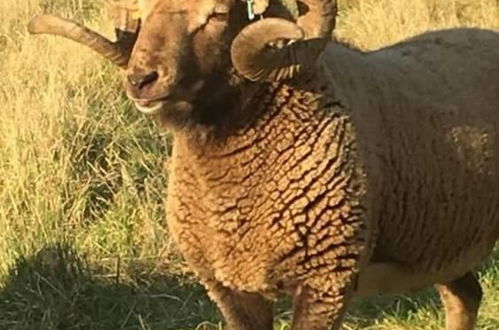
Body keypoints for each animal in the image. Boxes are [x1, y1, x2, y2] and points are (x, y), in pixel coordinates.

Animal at [28, 0, 499, 330]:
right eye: (141, 11)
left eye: (218, 13)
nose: (142, 80)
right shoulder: (231, 288)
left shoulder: (326, 282)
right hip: (443, 245)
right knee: (465, 298)